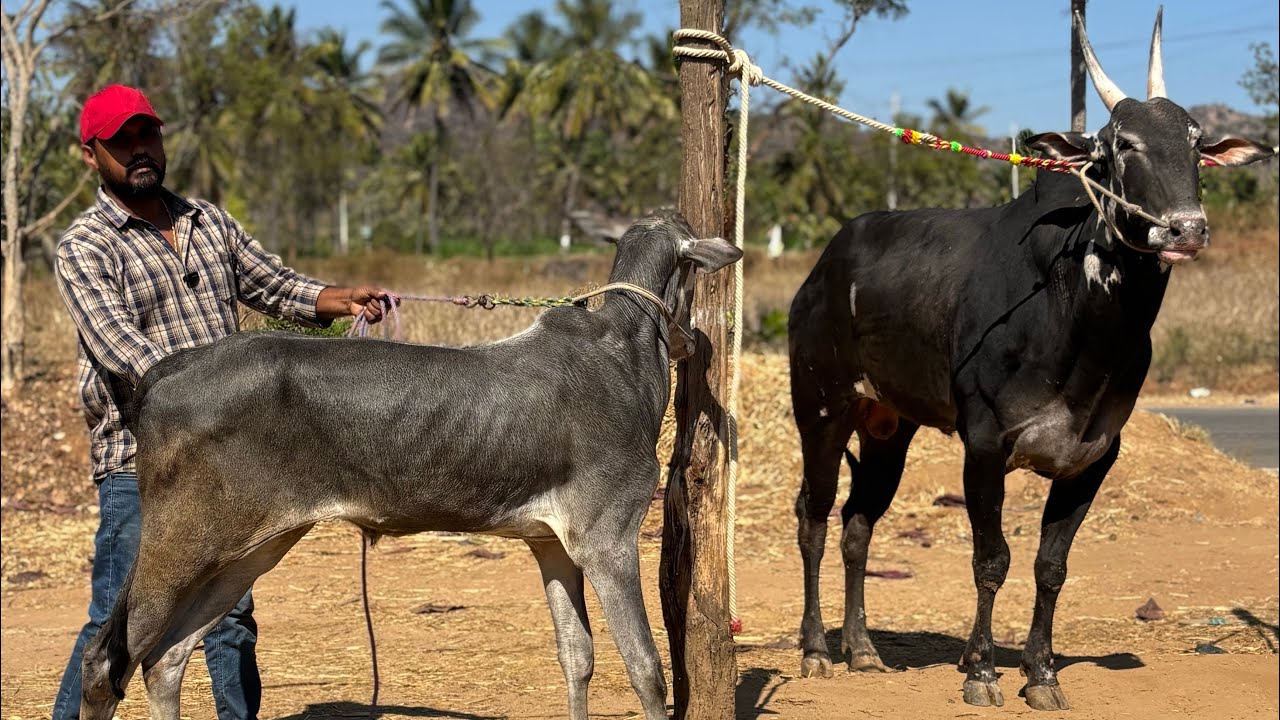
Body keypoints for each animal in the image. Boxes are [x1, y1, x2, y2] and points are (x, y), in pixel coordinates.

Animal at [77, 214, 742, 720]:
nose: (694, 341)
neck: (625, 350)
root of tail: (167, 369)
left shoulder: (551, 542)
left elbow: (577, 657)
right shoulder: (608, 538)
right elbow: (646, 669)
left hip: (252, 547)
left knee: (164, 659)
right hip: (182, 541)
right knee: (105, 662)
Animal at [786, 10, 1273, 712]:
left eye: (1196, 141)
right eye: (1121, 145)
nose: (1186, 229)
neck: (1079, 324)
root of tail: (824, 266)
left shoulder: (1092, 457)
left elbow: (1051, 566)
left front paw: (1041, 674)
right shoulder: (985, 445)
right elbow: (992, 560)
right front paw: (982, 671)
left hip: (888, 428)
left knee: (857, 525)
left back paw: (862, 648)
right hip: (822, 408)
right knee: (815, 519)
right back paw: (817, 649)